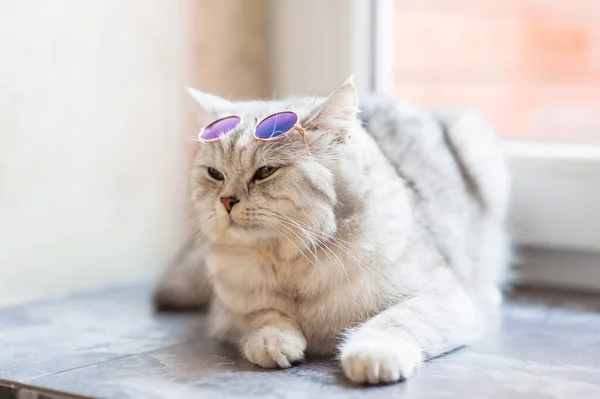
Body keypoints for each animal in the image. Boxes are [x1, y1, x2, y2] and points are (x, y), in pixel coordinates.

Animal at [155, 76, 510, 386]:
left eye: (266, 172)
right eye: (214, 174)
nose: (226, 201)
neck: (289, 260)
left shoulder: (444, 299)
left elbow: (395, 320)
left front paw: (371, 356)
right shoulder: (226, 312)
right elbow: (264, 315)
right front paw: (275, 342)